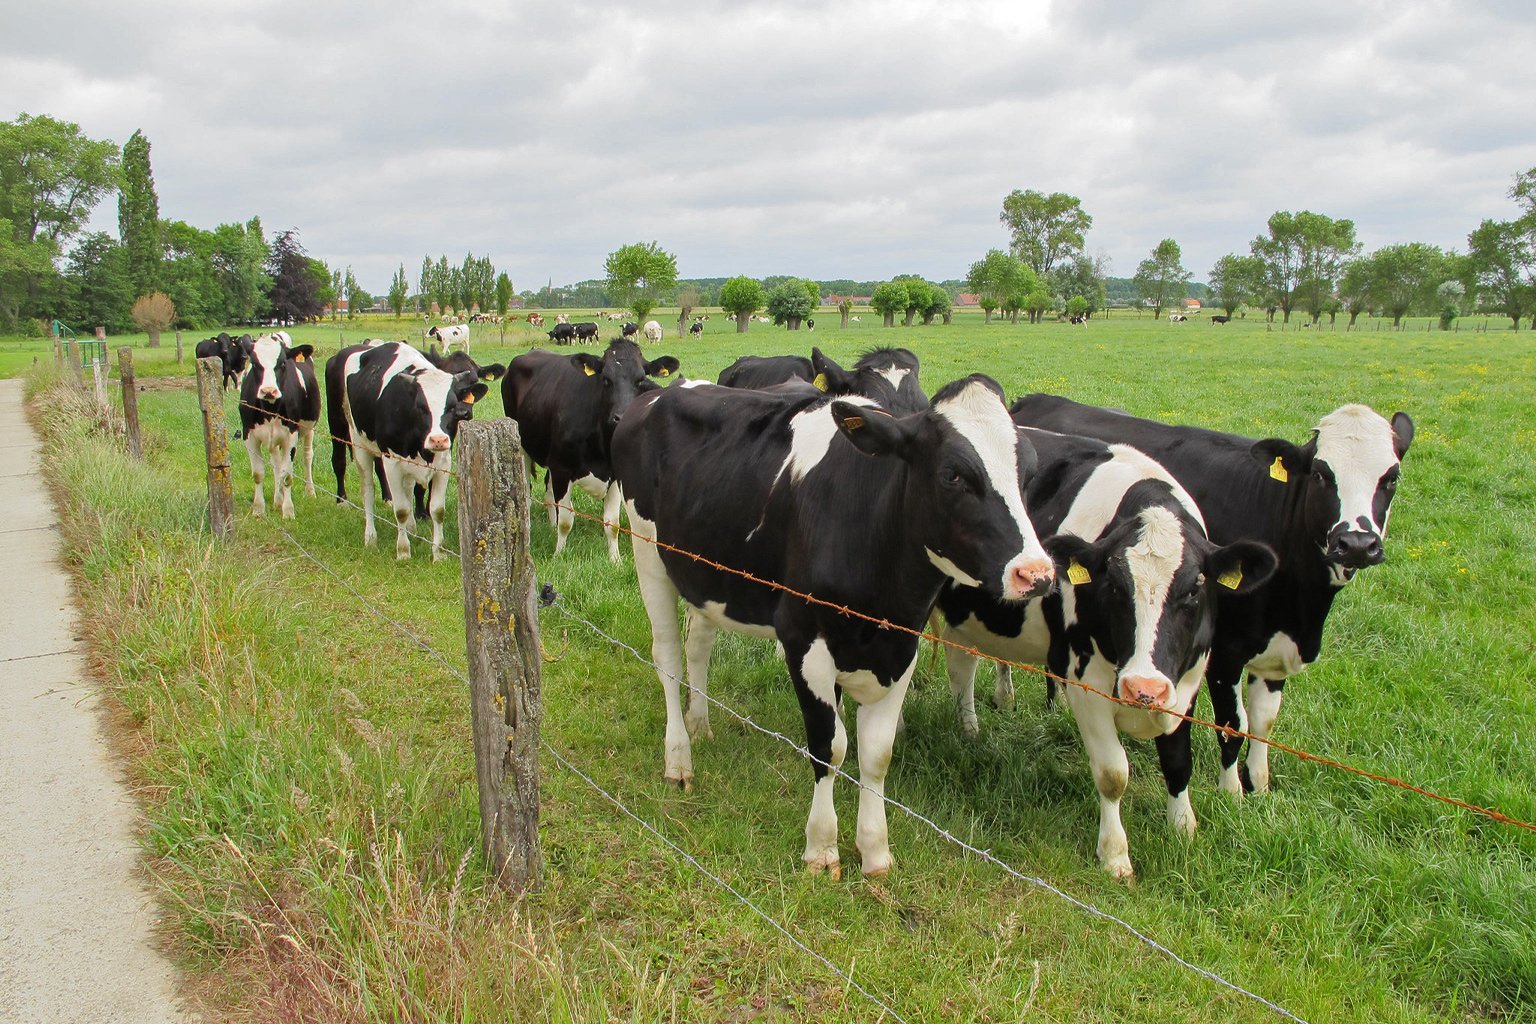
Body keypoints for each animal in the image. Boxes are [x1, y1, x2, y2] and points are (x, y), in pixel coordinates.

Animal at [238, 334, 319, 515]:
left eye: (282, 363)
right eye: (255, 363)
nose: (269, 391)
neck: (270, 409)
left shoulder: (291, 435)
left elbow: (287, 474)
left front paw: (288, 510)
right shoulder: (249, 435)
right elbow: (259, 474)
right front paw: (259, 509)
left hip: (309, 429)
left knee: (307, 456)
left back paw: (310, 491)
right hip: (273, 440)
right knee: (276, 464)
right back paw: (277, 499)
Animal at [324, 342, 485, 561]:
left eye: (451, 407)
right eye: (421, 407)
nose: (438, 439)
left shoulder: (444, 461)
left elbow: (437, 510)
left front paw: (438, 553)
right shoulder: (392, 461)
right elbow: (400, 509)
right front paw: (403, 551)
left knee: (407, 487)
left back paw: (412, 529)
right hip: (351, 437)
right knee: (365, 488)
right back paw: (369, 536)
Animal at [503, 336, 678, 561]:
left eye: (640, 379)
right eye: (606, 379)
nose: (622, 417)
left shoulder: (614, 474)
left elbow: (612, 523)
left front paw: (615, 559)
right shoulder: (562, 468)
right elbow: (566, 519)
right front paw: (559, 554)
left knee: (548, 490)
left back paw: (550, 525)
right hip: (522, 446)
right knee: (525, 491)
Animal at [611, 376, 1056, 884]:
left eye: (1030, 473)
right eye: (953, 475)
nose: (1036, 573)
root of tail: (659, 392)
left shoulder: (901, 647)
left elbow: (877, 754)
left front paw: (876, 851)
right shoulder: (804, 641)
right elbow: (830, 746)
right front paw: (822, 848)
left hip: (704, 573)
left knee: (698, 646)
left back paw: (699, 724)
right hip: (647, 549)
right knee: (667, 656)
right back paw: (679, 758)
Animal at [940, 429, 1277, 878]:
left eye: (1194, 588)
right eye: (1114, 586)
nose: (1142, 687)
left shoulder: (1185, 680)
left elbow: (1178, 761)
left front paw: (1183, 828)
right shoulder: (1087, 684)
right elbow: (1113, 773)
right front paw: (1115, 855)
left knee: (962, 665)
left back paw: (971, 729)